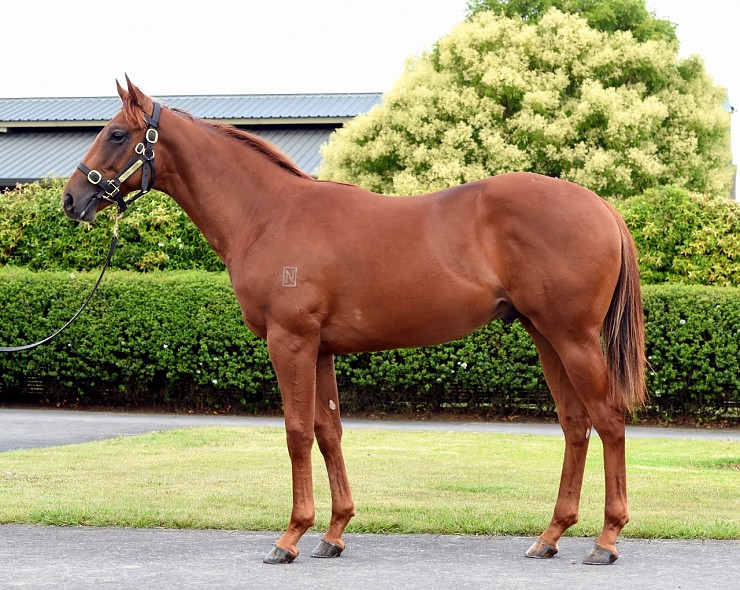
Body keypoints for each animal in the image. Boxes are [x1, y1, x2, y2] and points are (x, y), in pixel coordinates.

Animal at [63, 76, 644, 568]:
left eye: (117, 133)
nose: (72, 199)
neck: (267, 214)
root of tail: (602, 208)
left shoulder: (290, 342)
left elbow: (297, 432)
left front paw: (290, 537)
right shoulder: (319, 349)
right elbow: (329, 432)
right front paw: (334, 532)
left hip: (572, 338)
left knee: (609, 418)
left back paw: (606, 540)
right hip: (545, 335)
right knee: (575, 424)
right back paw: (550, 536)